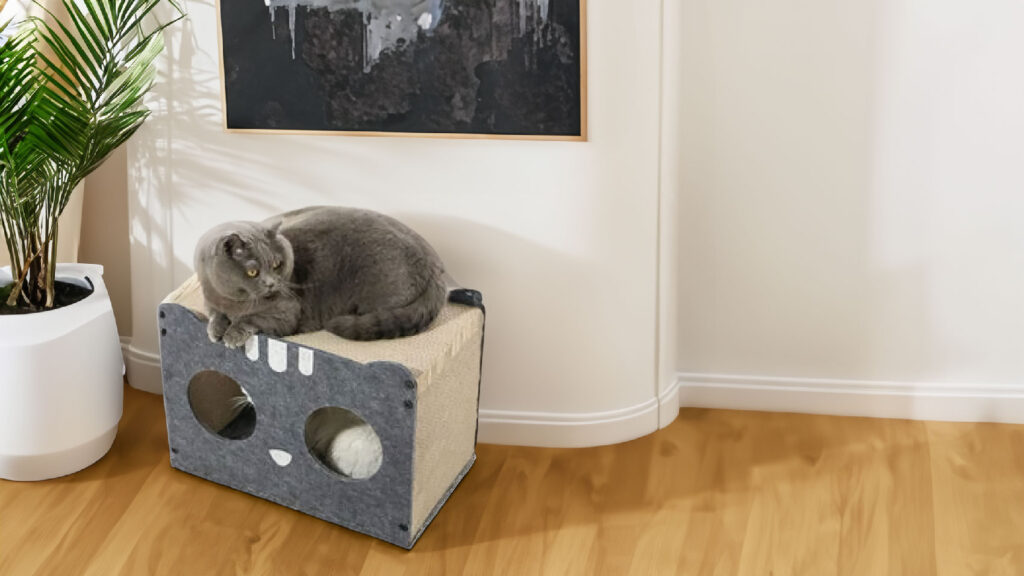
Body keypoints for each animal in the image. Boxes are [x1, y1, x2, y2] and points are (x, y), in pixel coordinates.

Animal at [193, 203, 446, 344]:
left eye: (276, 264)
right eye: (253, 271)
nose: (272, 284)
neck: (232, 301)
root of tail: (436, 264)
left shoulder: (285, 314)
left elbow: (253, 318)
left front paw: (231, 335)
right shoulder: (210, 299)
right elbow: (214, 314)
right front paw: (215, 329)